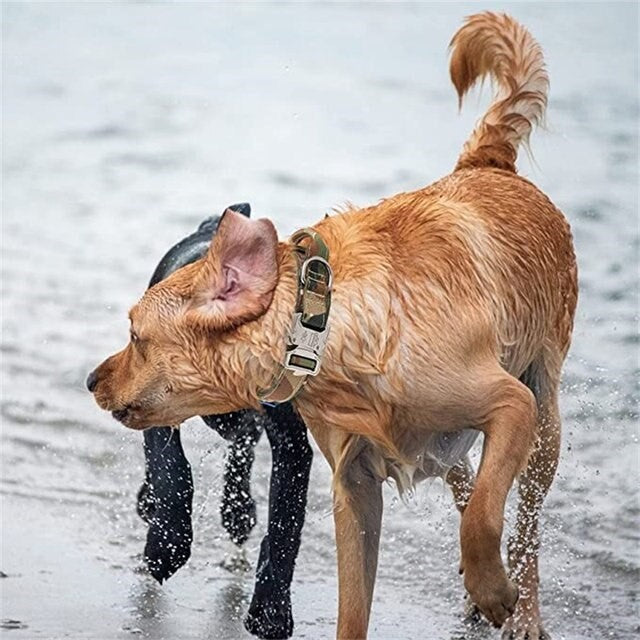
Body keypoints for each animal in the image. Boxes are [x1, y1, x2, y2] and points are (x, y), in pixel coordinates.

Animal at [135, 204, 312, 636]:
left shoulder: (292, 442)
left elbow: (285, 524)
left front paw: (271, 610)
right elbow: (171, 470)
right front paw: (166, 546)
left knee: (243, 443)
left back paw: (238, 509)